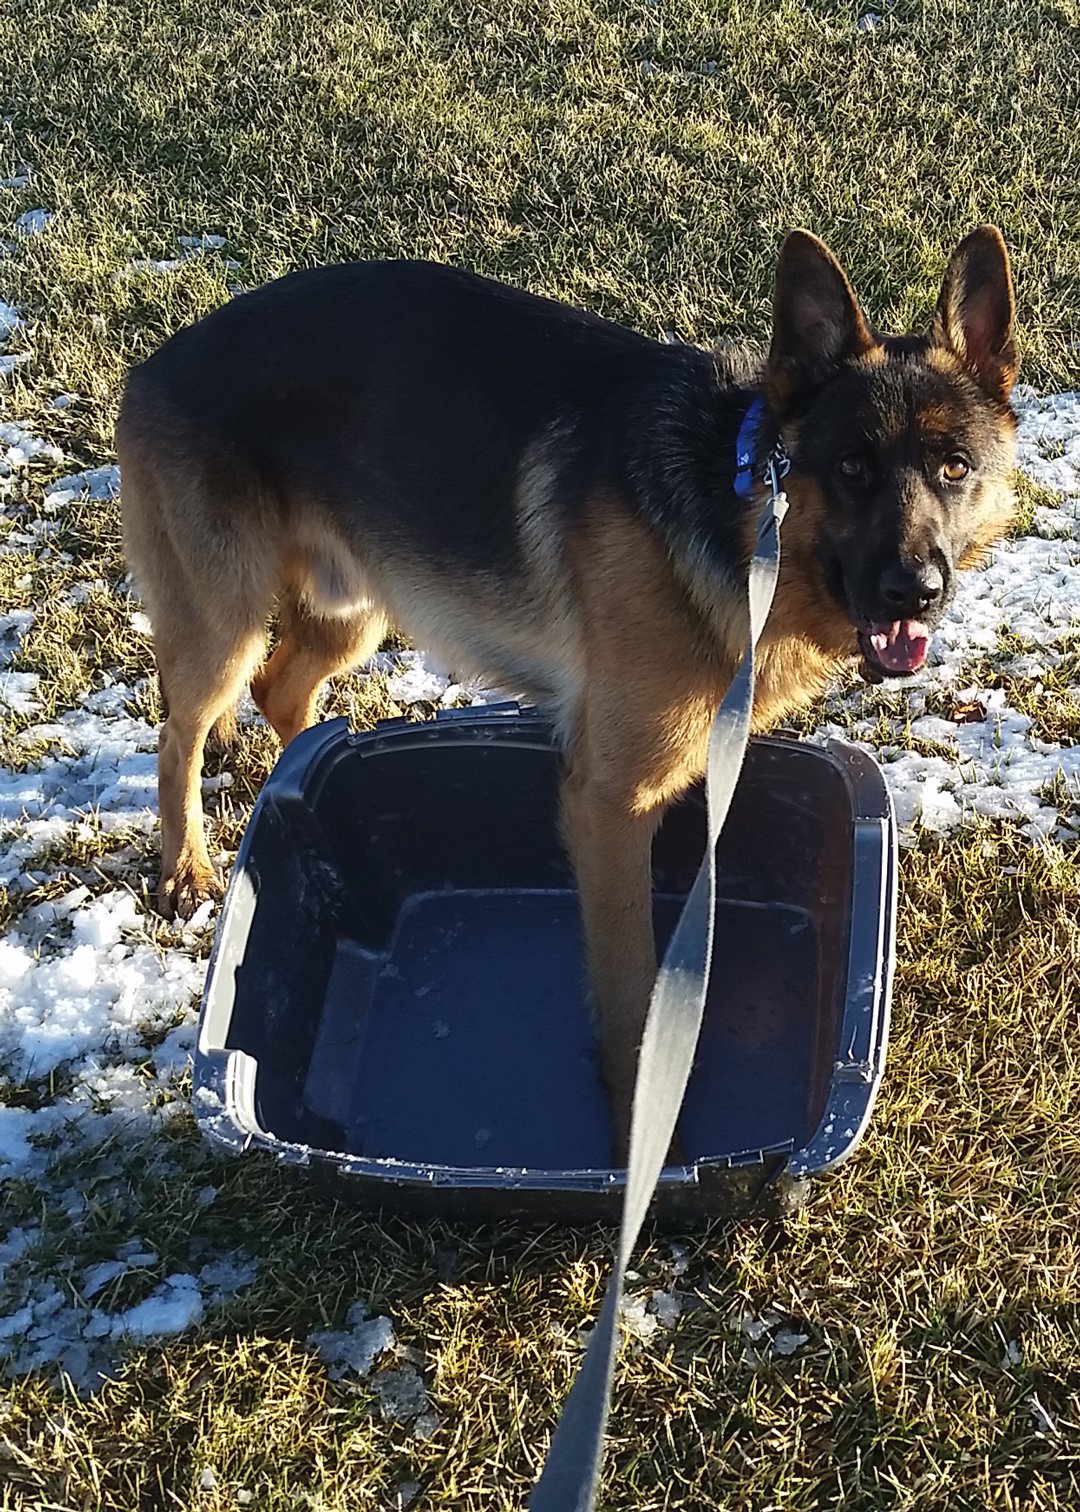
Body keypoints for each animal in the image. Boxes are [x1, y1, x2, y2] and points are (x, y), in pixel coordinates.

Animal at [117, 223, 1016, 1155]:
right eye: (849, 467)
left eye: (953, 468)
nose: (915, 591)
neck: (739, 506)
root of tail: (164, 356)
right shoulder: (611, 804)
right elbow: (631, 988)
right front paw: (638, 1133)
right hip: (225, 625)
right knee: (182, 730)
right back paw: (185, 866)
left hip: (354, 609)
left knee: (280, 691)